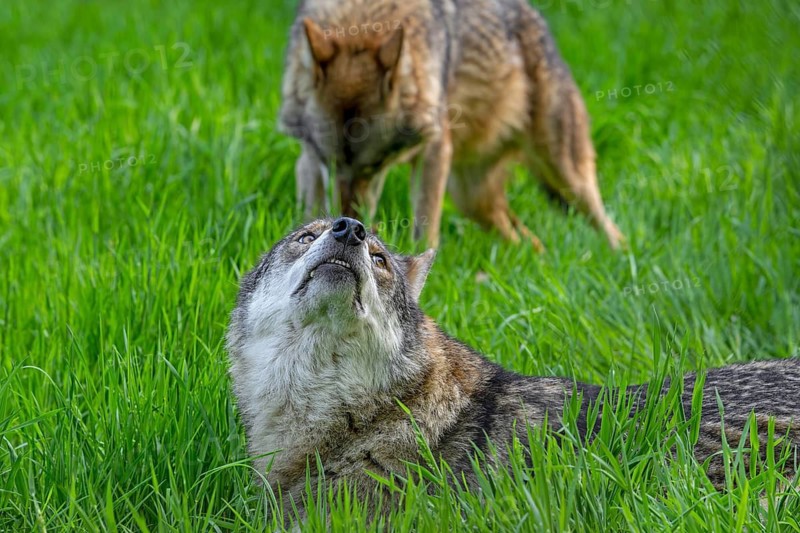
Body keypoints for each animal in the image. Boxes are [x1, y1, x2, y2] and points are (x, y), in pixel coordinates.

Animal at [279, 0, 626, 251]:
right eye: (331, 163)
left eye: (375, 165)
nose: (348, 223)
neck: (361, 17)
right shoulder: (309, 160)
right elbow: (310, 212)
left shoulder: (434, 149)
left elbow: (424, 226)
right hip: (470, 199)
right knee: (525, 239)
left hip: (567, 177)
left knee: (608, 225)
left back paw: (619, 256)